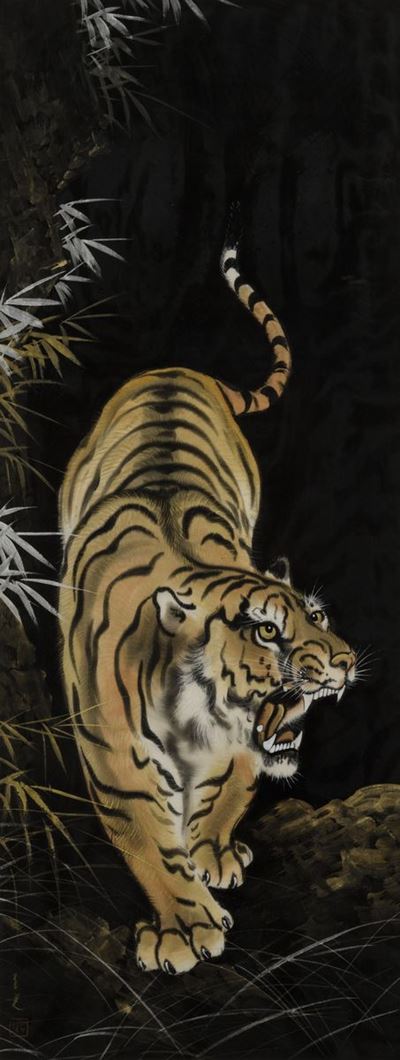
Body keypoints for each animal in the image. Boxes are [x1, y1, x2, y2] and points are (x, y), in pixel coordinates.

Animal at [58, 221, 357, 976]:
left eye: (318, 617)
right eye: (266, 631)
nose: (343, 663)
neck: (191, 713)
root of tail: (179, 370)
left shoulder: (239, 747)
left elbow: (232, 785)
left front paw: (212, 856)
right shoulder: (111, 749)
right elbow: (147, 837)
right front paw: (183, 927)